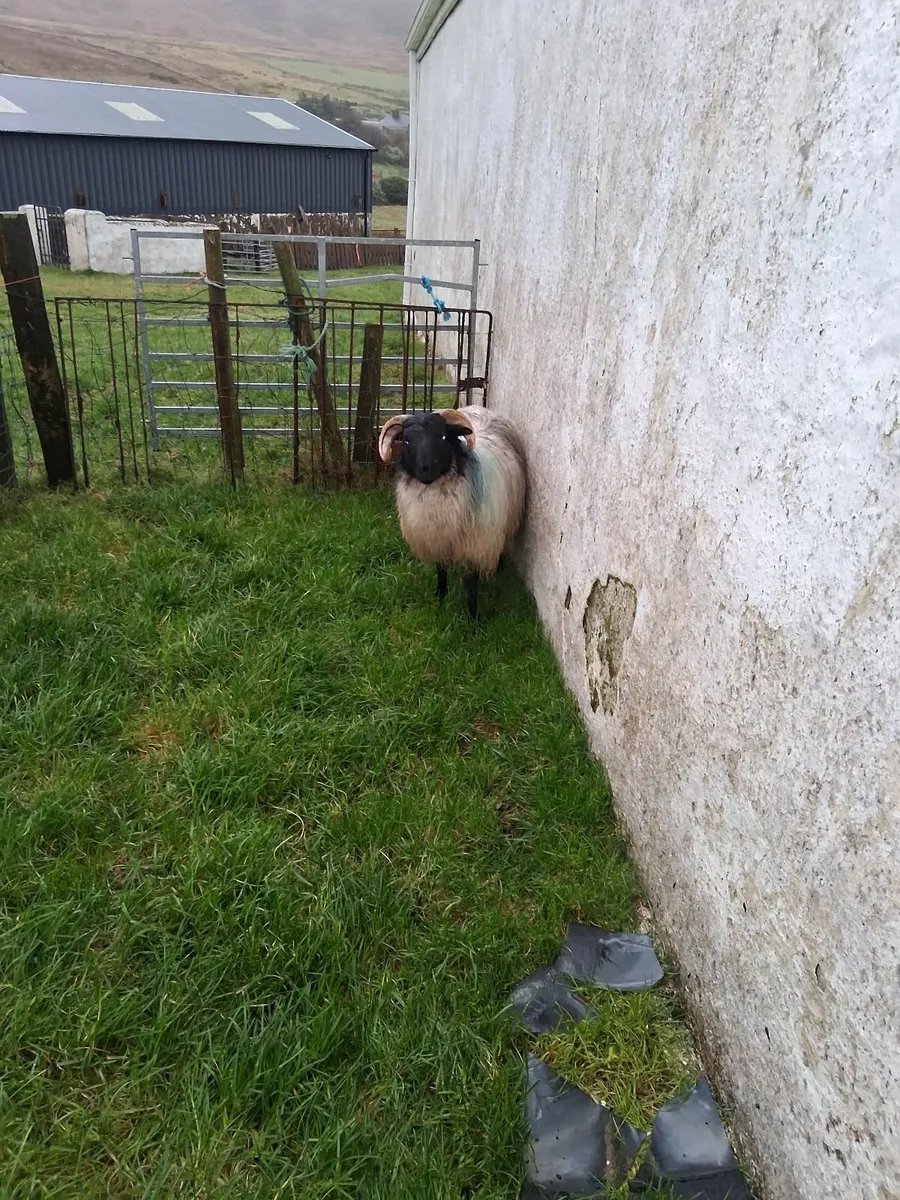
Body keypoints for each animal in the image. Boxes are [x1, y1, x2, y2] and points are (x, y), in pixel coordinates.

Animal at [377, 405, 527, 619]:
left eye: (442, 437)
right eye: (406, 440)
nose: (426, 470)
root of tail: (481, 408)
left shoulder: (477, 544)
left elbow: (470, 584)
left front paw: (473, 618)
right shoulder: (439, 539)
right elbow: (441, 570)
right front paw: (440, 597)